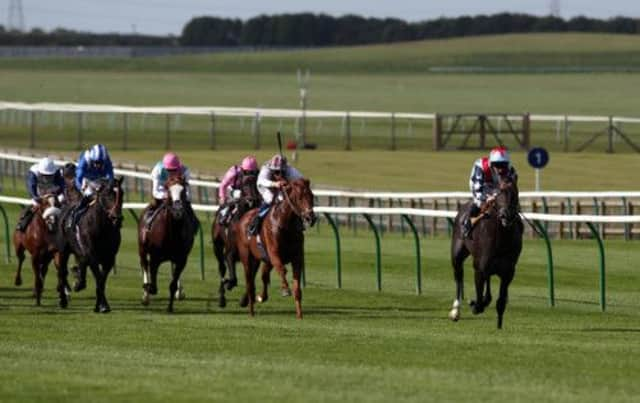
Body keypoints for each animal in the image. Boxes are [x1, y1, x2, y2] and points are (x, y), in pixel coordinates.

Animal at [54, 178, 124, 314]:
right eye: (107, 194)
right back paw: (63, 299)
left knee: (80, 264)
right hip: (63, 249)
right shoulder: (92, 255)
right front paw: (103, 305)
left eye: (122, 194)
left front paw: (100, 305)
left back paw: (79, 280)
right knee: (62, 272)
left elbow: (101, 280)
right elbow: (98, 277)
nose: (117, 218)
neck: (102, 229)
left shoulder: (109, 259)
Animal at [139, 175, 198, 310]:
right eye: (168, 191)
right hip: (142, 248)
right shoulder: (155, 257)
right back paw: (145, 297)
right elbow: (153, 286)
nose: (177, 210)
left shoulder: (181, 259)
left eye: (183, 190)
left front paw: (170, 307)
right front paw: (147, 289)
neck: (172, 234)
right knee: (144, 265)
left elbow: (173, 284)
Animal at [234, 179, 316, 318]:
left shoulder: (297, 258)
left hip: (263, 260)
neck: (286, 225)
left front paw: (299, 315)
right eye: (299, 197)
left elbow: (297, 288)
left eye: (312, 196)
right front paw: (285, 289)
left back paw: (261, 297)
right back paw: (251, 311)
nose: (311, 218)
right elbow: (282, 270)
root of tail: (244, 217)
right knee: (250, 283)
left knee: (263, 276)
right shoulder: (274, 253)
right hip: (247, 257)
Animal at [448, 178, 524, 330]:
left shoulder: (508, 272)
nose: (505, 215)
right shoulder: (480, 267)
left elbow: (500, 302)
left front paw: (499, 326)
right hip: (457, 254)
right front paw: (474, 304)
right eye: (498, 193)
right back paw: (456, 310)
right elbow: (478, 299)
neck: (502, 240)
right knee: (459, 277)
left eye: (514, 194)